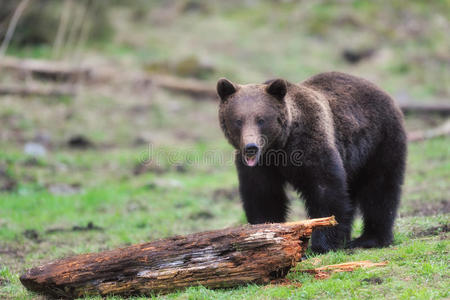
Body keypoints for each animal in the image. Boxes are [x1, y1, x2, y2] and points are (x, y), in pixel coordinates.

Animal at [216, 72, 406, 253]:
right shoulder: (262, 166)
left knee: (380, 189)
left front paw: (321, 245)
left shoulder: (310, 144)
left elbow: (325, 190)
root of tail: (381, 91)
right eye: (238, 120)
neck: (280, 146)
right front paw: (263, 235)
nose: (251, 147)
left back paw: (370, 238)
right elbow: (263, 195)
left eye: (261, 119)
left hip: (379, 141)